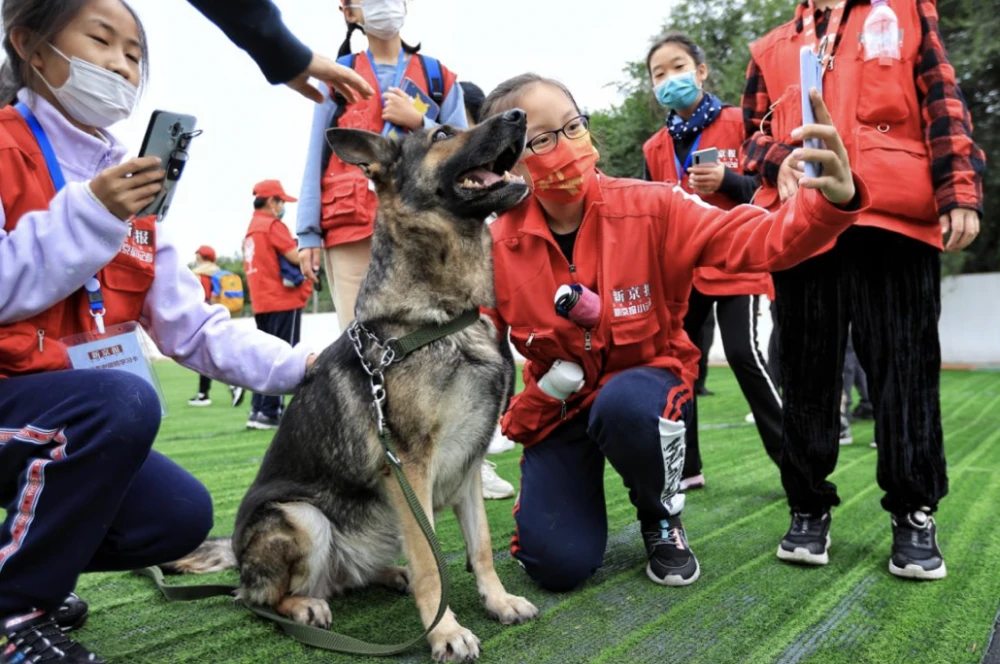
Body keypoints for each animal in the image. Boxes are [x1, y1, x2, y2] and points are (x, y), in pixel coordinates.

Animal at [166, 107, 540, 660]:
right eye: (443, 134)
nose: (518, 116)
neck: (441, 319)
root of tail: (235, 551)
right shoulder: (409, 469)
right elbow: (433, 565)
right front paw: (445, 631)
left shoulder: (467, 465)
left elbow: (481, 547)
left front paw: (498, 602)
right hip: (303, 516)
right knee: (257, 597)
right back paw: (305, 607)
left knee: (344, 577)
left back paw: (387, 573)